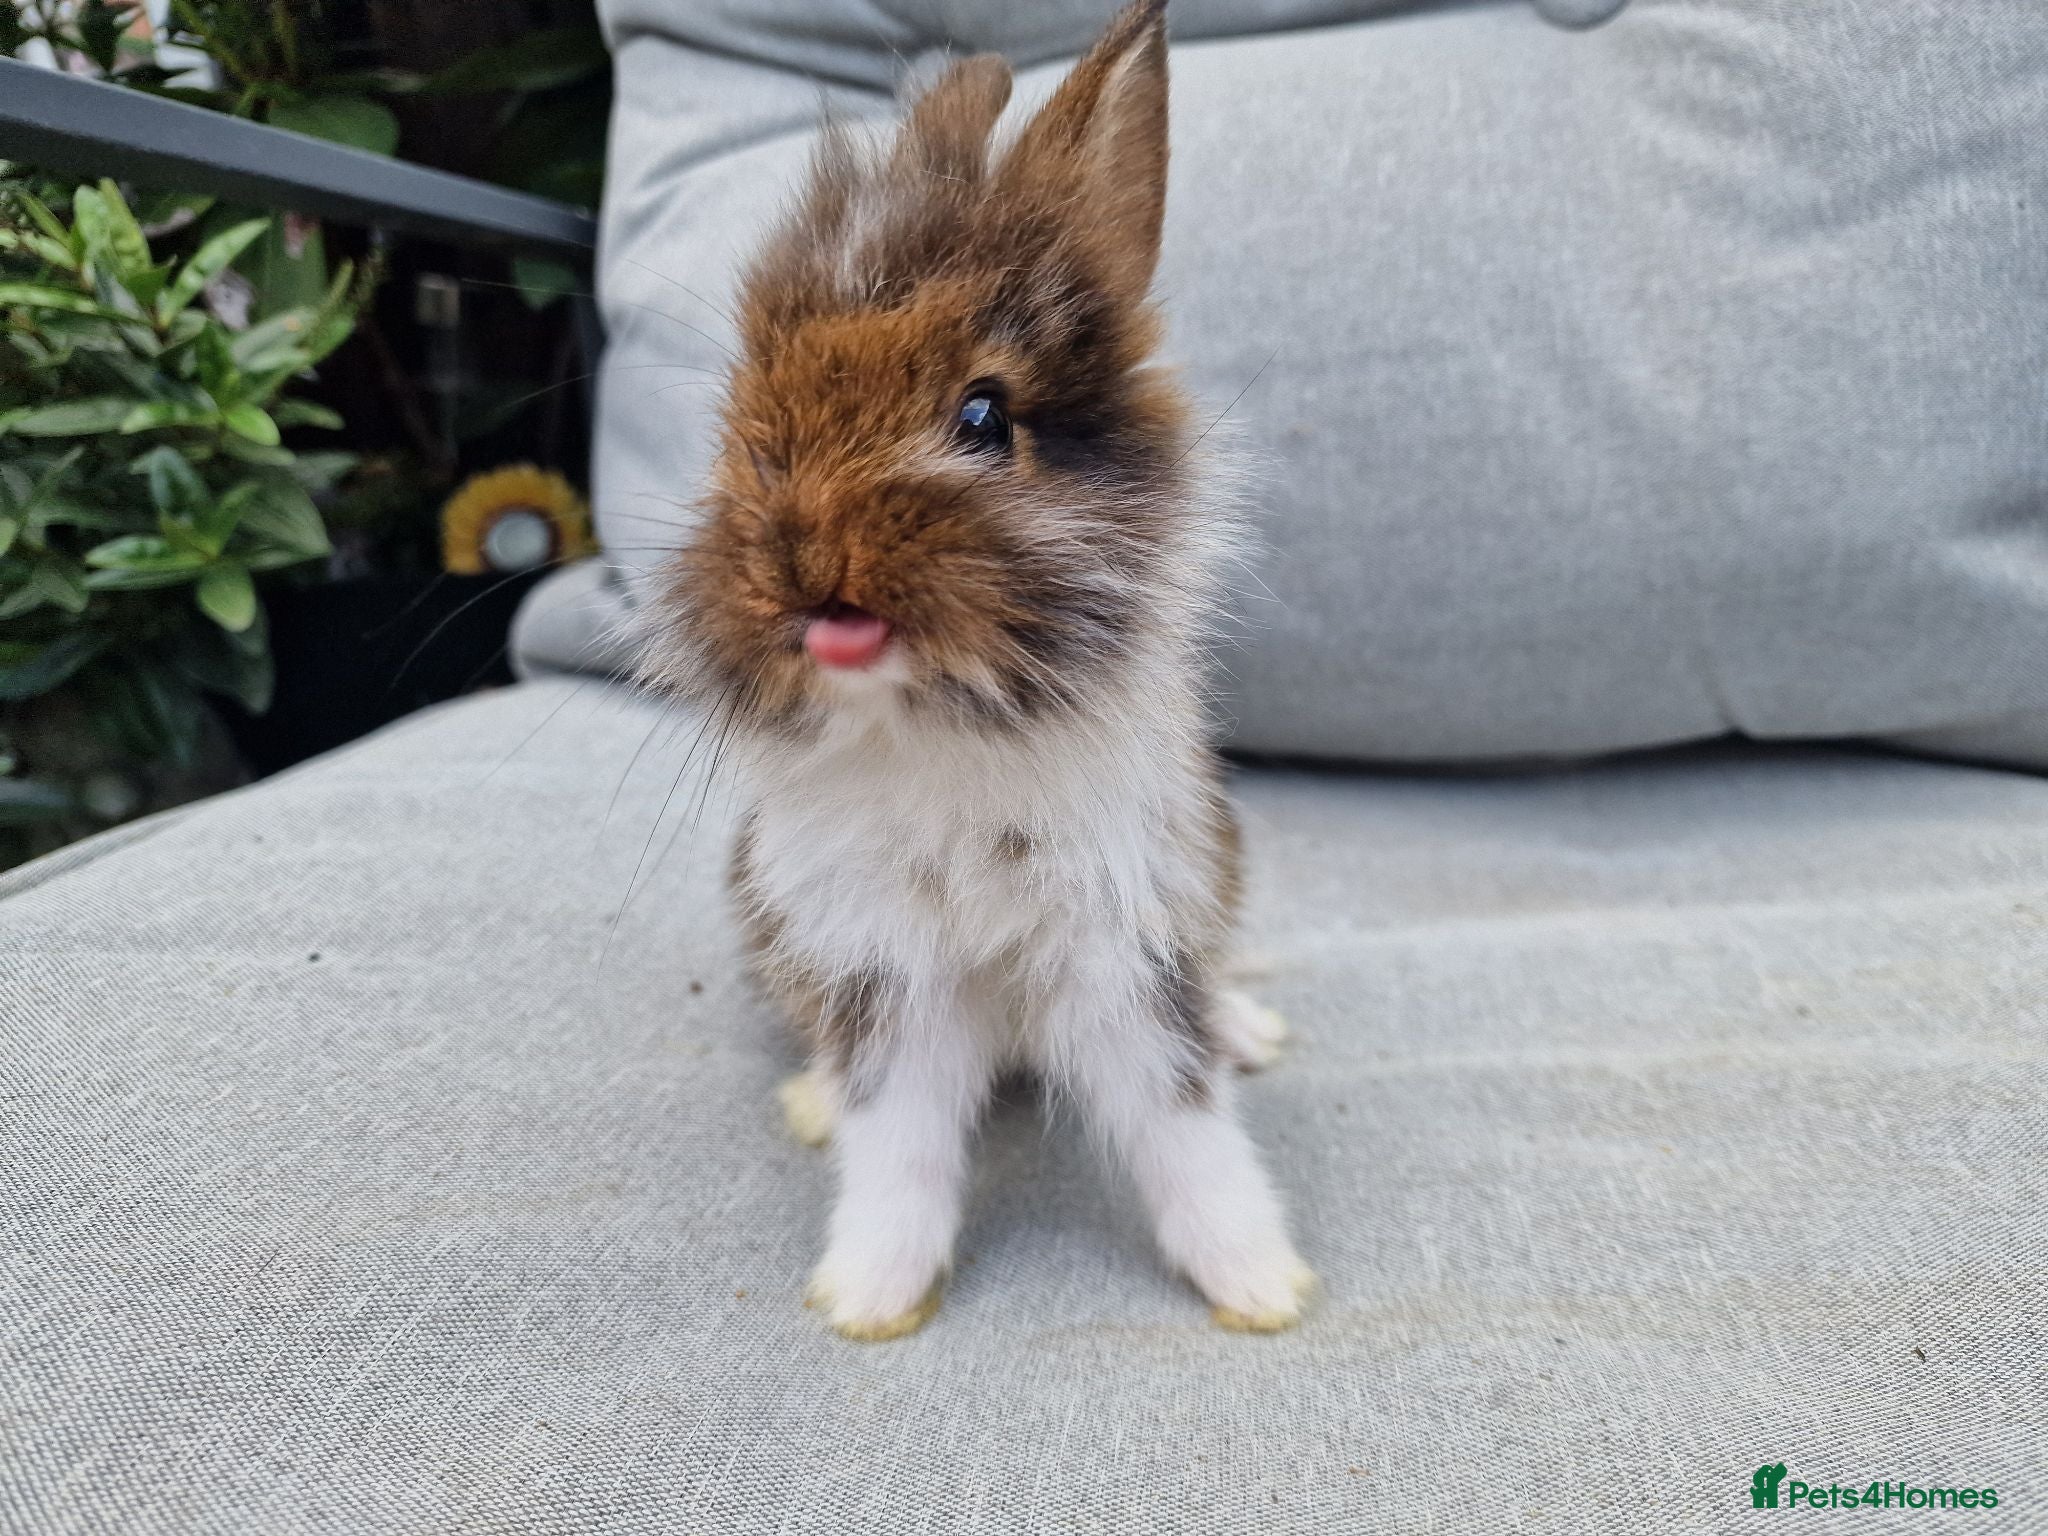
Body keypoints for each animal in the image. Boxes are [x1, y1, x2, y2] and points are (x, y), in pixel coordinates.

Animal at [638, 0, 1312, 1340]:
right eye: (750, 439)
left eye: (983, 418)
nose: (803, 559)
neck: (938, 727)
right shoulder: (884, 975)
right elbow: (894, 1143)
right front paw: (868, 1298)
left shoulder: (1122, 948)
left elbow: (1184, 1127)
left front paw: (1260, 1284)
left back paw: (1248, 1029)